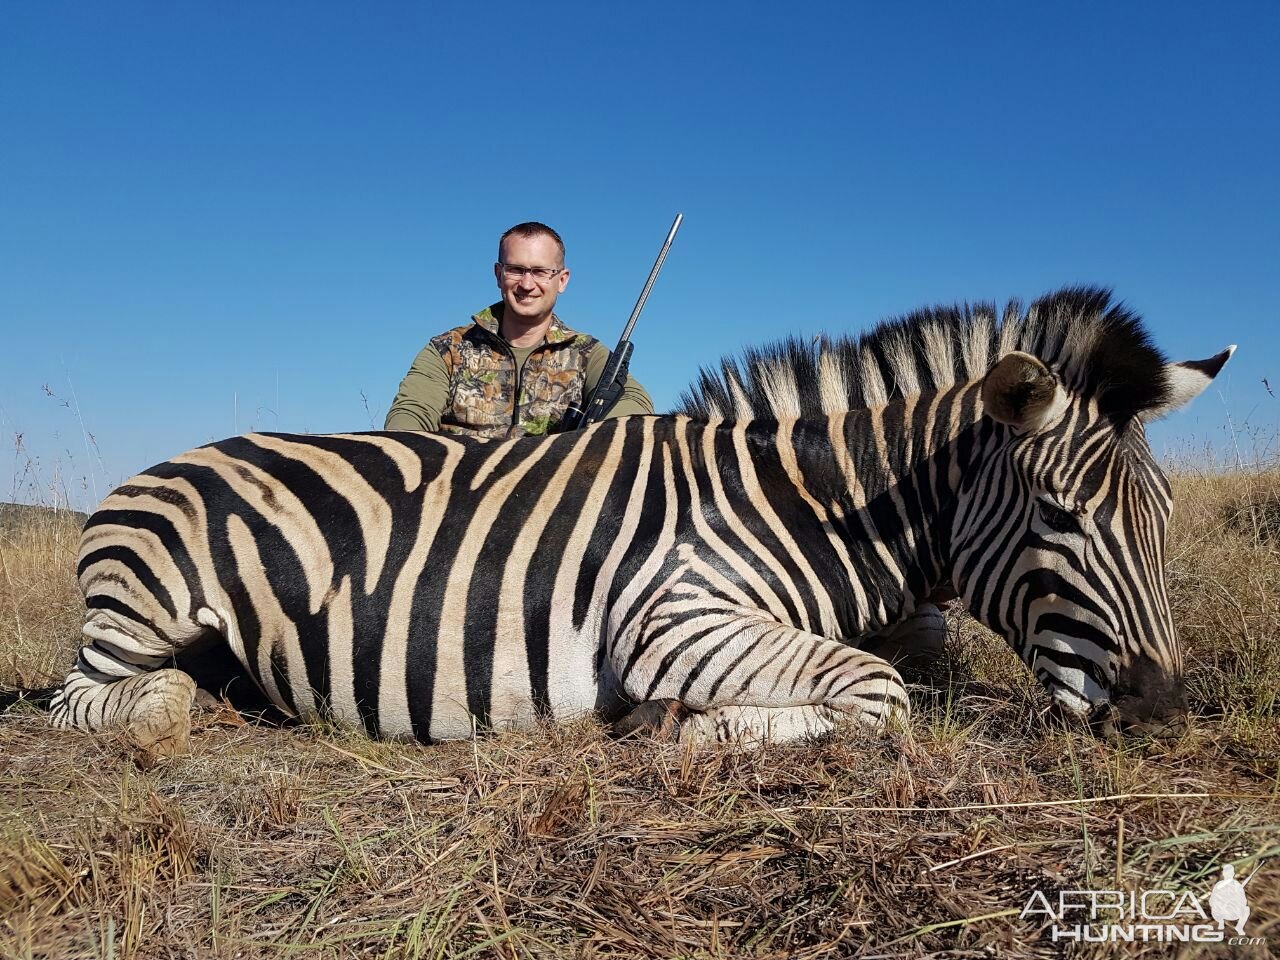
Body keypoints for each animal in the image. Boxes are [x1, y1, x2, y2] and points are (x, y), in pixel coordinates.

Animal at [47, 289, 1228, 757]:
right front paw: (683, 729)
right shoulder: (674, 619)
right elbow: (881, 690)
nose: (1160, 711)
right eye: (1060, 515)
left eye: (1165, 519)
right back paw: (173, 706)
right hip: (144, 611)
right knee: (96, 701)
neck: (815, 507)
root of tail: (166, 462)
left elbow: (914, 655)